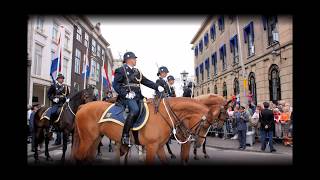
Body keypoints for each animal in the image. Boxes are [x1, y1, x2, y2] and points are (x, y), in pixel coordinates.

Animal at [71, 97, 214, 165]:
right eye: (205, 124)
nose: (199, 143)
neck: (163, 114)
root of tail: (83, 106)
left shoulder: (159, 147)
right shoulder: (151, 147)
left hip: (95, 139)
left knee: (88, 158)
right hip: (87, 139)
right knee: (79, 157)